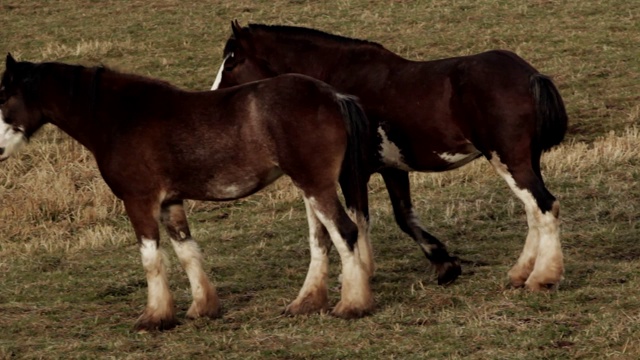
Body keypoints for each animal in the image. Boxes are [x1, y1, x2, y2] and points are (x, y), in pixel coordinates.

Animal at [0, 52, 378, 330]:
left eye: (4, 97)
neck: (123, 117)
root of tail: (333, 96)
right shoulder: (170, 202)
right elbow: (186, 251)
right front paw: (202, 308)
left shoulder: (139, 201)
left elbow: (151, 257)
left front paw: (155, 317)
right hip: (309, 187)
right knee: (321, 239)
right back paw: (306, 303)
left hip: (315, 185)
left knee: (345, 232)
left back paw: (352, 305)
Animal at [215, 21, 568, 290]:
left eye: (231, 62)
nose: (218, 97)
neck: (339, 83)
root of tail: (529, 75)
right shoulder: (392, 169)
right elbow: (404, 217)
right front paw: (445, 265)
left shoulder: (352, 173)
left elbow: (359, 220)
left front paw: (359, 273)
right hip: (525, 161)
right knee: (533, 210)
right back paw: (521, 272)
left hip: (509, 160)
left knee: (544, 206)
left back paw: (542, 278)